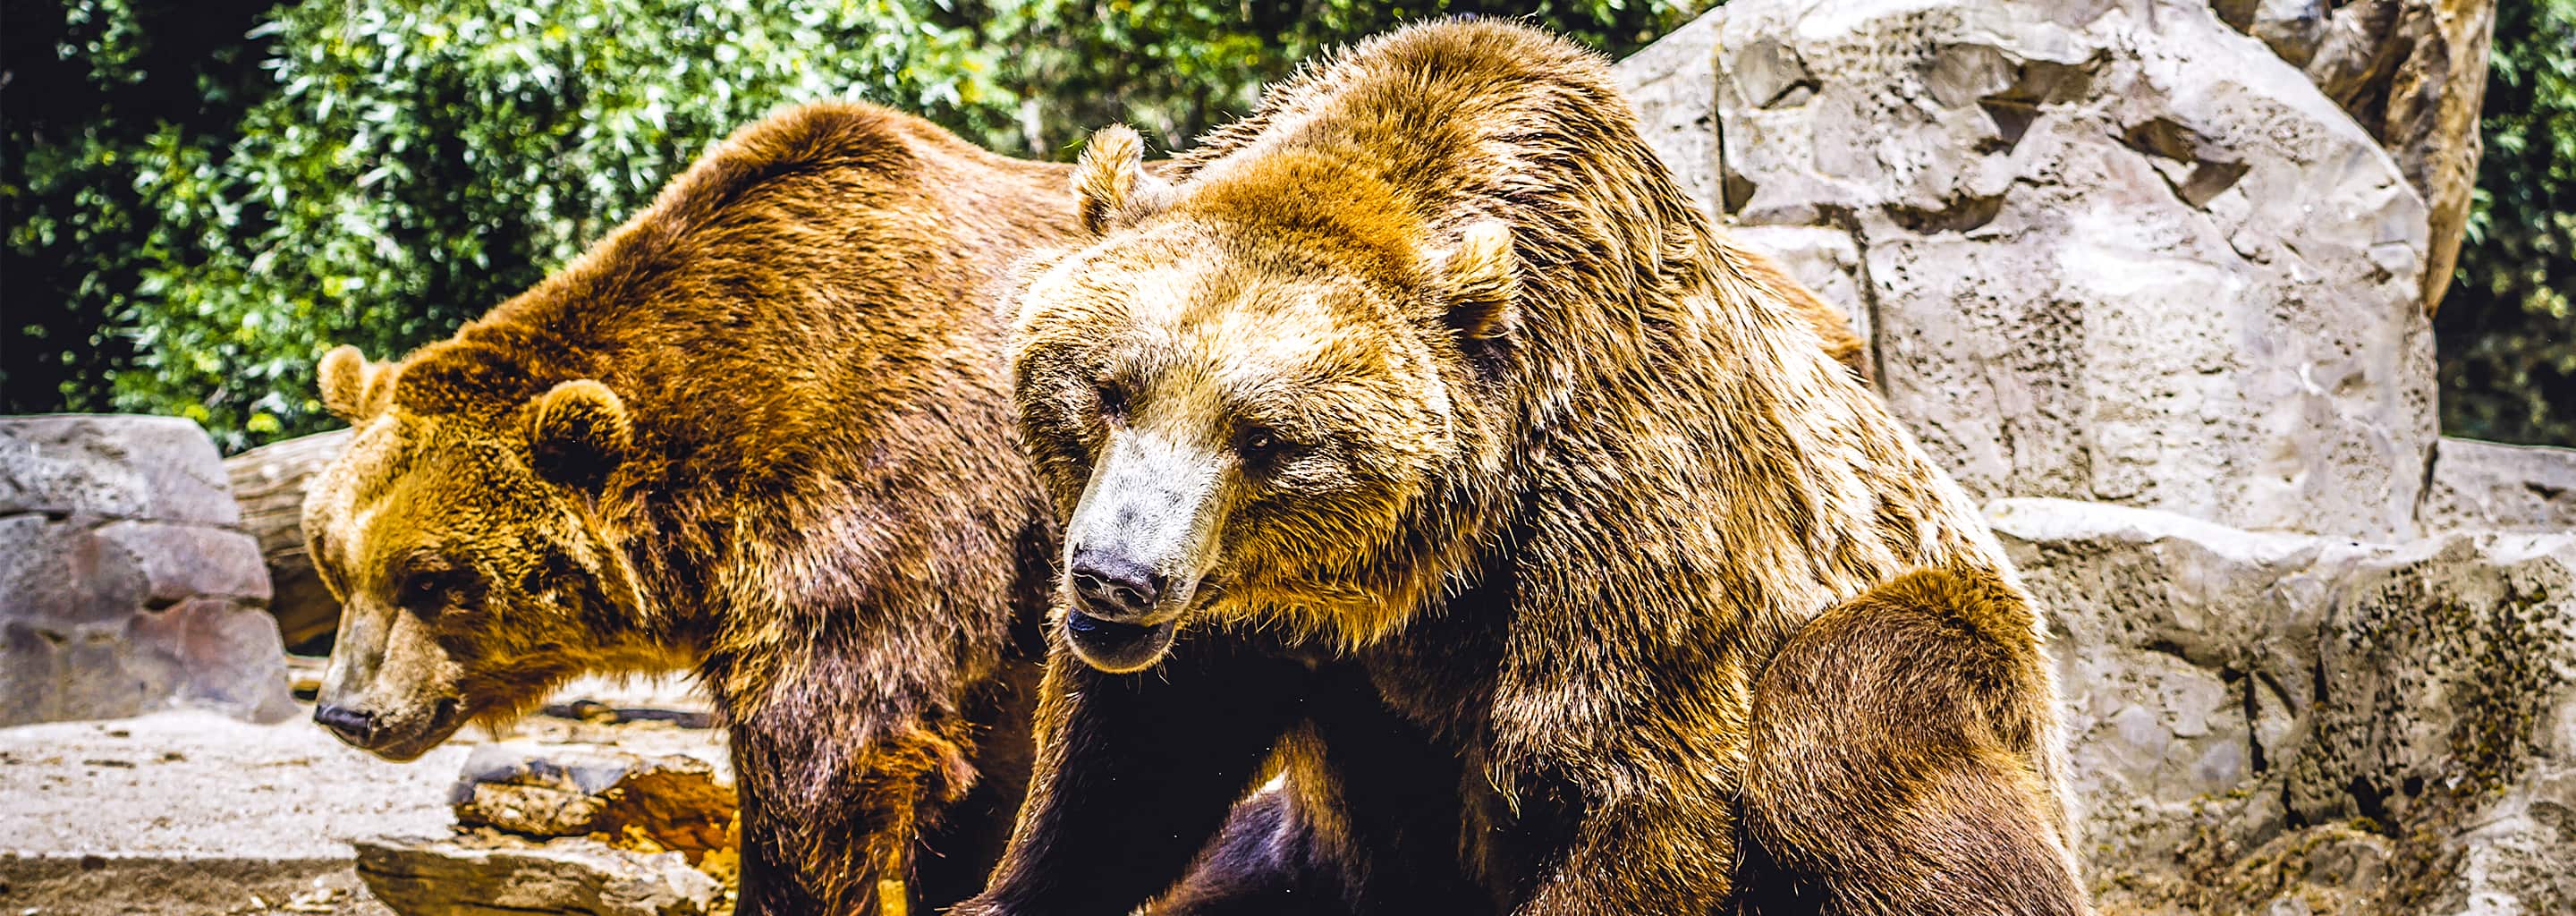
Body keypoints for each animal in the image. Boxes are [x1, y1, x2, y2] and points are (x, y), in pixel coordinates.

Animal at [957, 19, 2087, 916]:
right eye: (1110, 390)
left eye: (1265, 439)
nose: (1116, 575)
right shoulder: (1267, 627)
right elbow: (1141, 749)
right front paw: (1010, 888)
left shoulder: (1613, 514)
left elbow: (1616, 783)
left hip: (1965, 643)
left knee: (1844, 724)